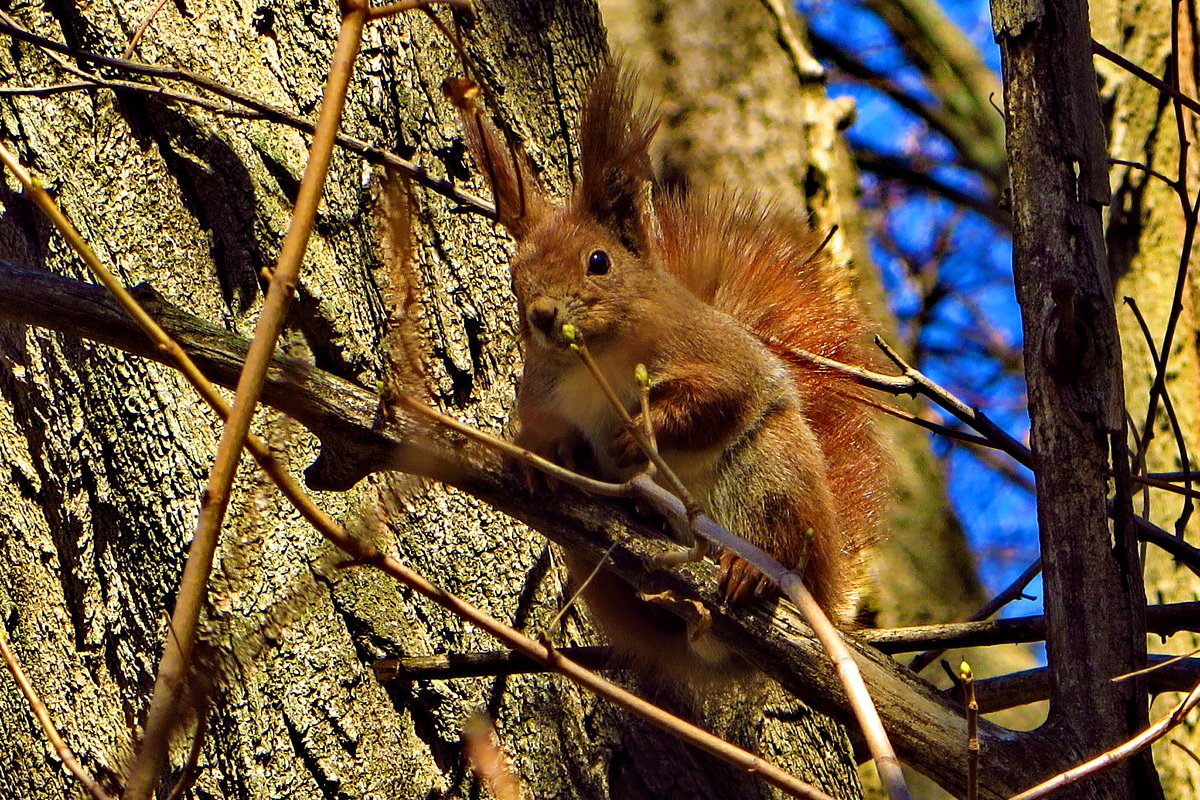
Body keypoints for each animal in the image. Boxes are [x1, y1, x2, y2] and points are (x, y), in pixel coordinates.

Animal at [453, 61, 888, 676]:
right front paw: (547, 455)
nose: (542, 316)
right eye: (515, 277)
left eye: (598, 261)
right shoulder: (541, 391)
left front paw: (641, 431)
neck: (598, 357)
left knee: (783, 540)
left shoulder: (715, 352)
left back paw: (755, 570)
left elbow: (719, 397)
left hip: (776, 473)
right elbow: (540, 427)